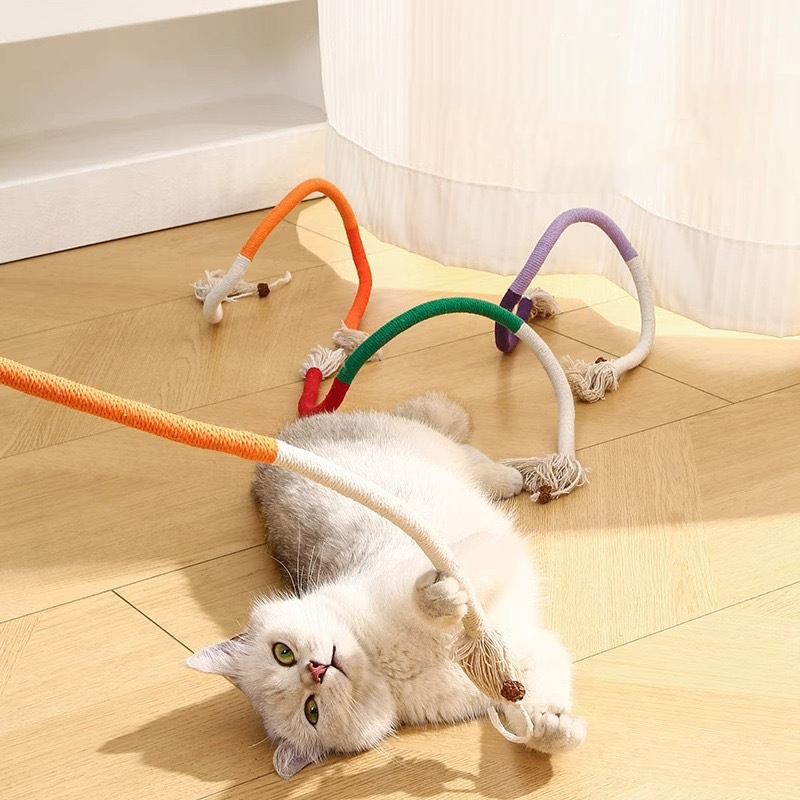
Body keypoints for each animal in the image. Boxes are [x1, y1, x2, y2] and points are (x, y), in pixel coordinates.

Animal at [187, 392, 586, 778]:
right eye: (311, 711)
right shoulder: (518, 658)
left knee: (461, 448)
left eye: (281, 652)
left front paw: (443, 597)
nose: (316, 670)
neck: (381, 660)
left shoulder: (468, 553)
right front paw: (552, 729)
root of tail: (290, 430)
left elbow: (438, 591)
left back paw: (509, 477)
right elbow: (533, 707)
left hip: (424, 449)